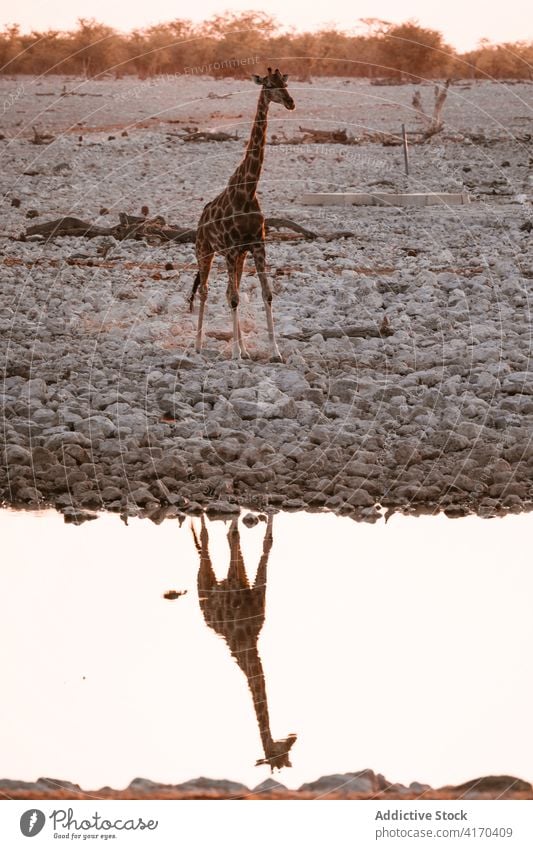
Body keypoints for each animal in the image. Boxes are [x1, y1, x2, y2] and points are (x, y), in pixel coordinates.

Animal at [187, 69, 296, 362]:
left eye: (285, 83)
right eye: (269, 85)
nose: (290, 102)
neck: (247, 191)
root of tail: (200, 220)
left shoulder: (255, 246)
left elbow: (267, 294)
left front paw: (274, 351)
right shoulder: (232, 248)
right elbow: (234, 297)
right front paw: (235, 353)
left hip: (236, 256)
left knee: (227, 290)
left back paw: (244, 349)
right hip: (205, 251)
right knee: (205, 291)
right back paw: (199, 345)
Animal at [191, 510, 296, 768]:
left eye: (287, 756)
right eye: (277, 755)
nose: (291, 739)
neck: (248, 639)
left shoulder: (254, 591)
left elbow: (266, 542)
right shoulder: (236, 581)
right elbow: (233, 535)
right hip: (204, 578)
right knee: (205, 541)